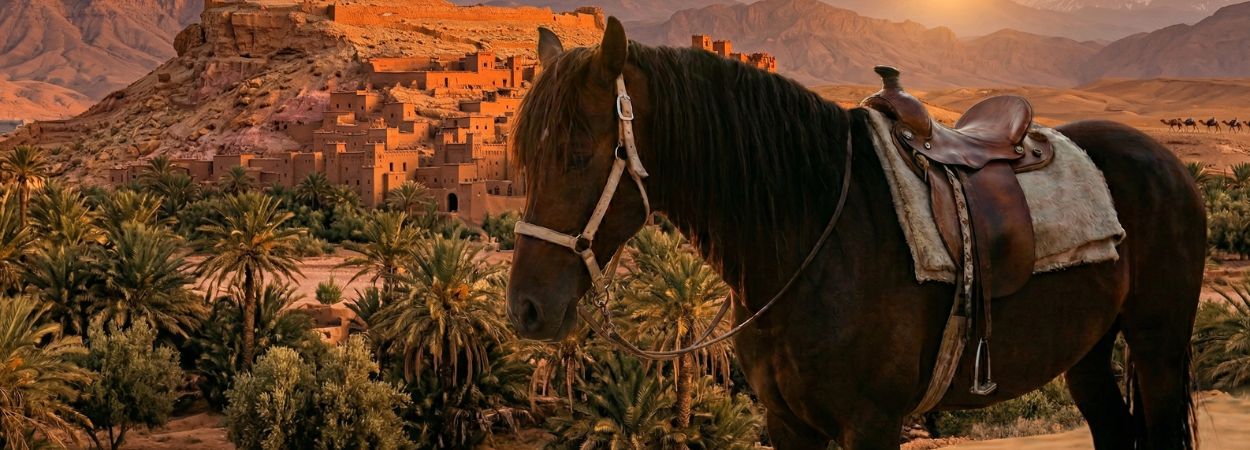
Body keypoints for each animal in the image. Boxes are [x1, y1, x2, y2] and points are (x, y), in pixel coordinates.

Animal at [506, 18, 1203, 450]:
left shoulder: (872, 422)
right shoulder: (788, 423)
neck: (810, 234)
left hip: (1159, 347)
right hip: (1087, 349)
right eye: (522, 160)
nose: (527, 310)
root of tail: (1166, 161)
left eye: (577, 154)